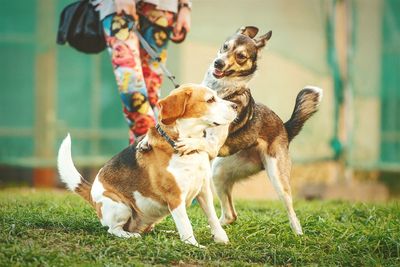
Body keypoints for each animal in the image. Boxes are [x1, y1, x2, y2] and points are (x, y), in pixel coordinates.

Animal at [57, 83, 238, 247]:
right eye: (210, 100)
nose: (236, 106)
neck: (188, 146)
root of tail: (92, 190)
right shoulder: (175, 198)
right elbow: (186, 225)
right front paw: (193, 245)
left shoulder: (204, 190)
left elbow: (212, 217)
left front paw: (221, 238)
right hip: (120, 206)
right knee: (114, 230)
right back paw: (129, 235)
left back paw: (167, 232)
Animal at [173, 27, 324, 237]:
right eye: (225, 46)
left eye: (241, 56)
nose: (218, 63)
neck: (223, 91)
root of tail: (284, 127)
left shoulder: (213, 144)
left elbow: (202, 140)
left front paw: (188, 143)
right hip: (220, 172)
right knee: (231, 215)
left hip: (277, 177)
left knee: (291, 210)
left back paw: (298, 234)